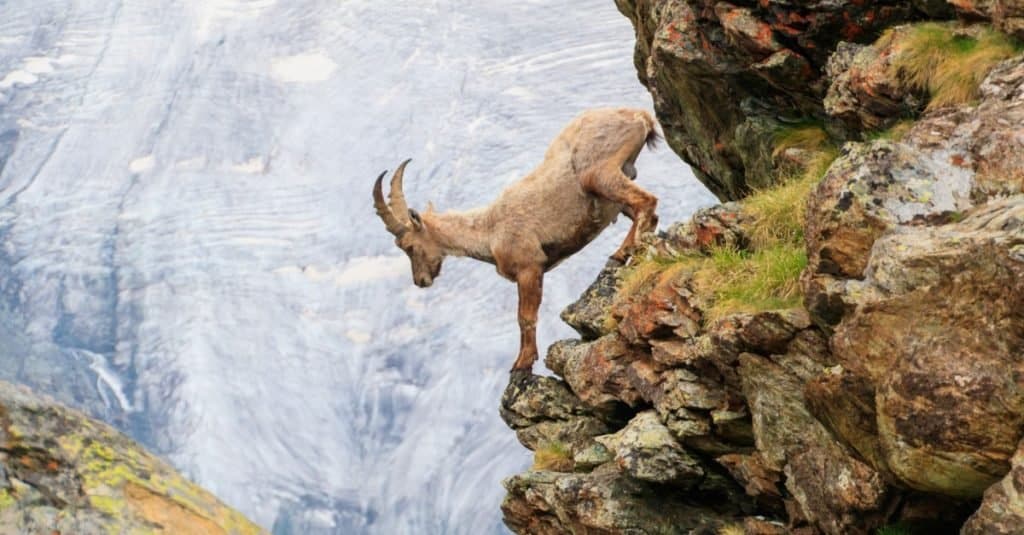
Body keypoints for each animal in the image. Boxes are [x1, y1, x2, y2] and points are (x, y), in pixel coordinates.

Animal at [372, 108, 659, 371]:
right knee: (648, 214)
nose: (420, 281)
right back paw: (625, 254)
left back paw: (626, 254)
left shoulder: (529, 267)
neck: (489, 230)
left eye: (408, 246)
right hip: (614, 190)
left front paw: (522, 363)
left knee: (647, 202)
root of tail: (639, 115)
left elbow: (525, 317)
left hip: (598, 174)